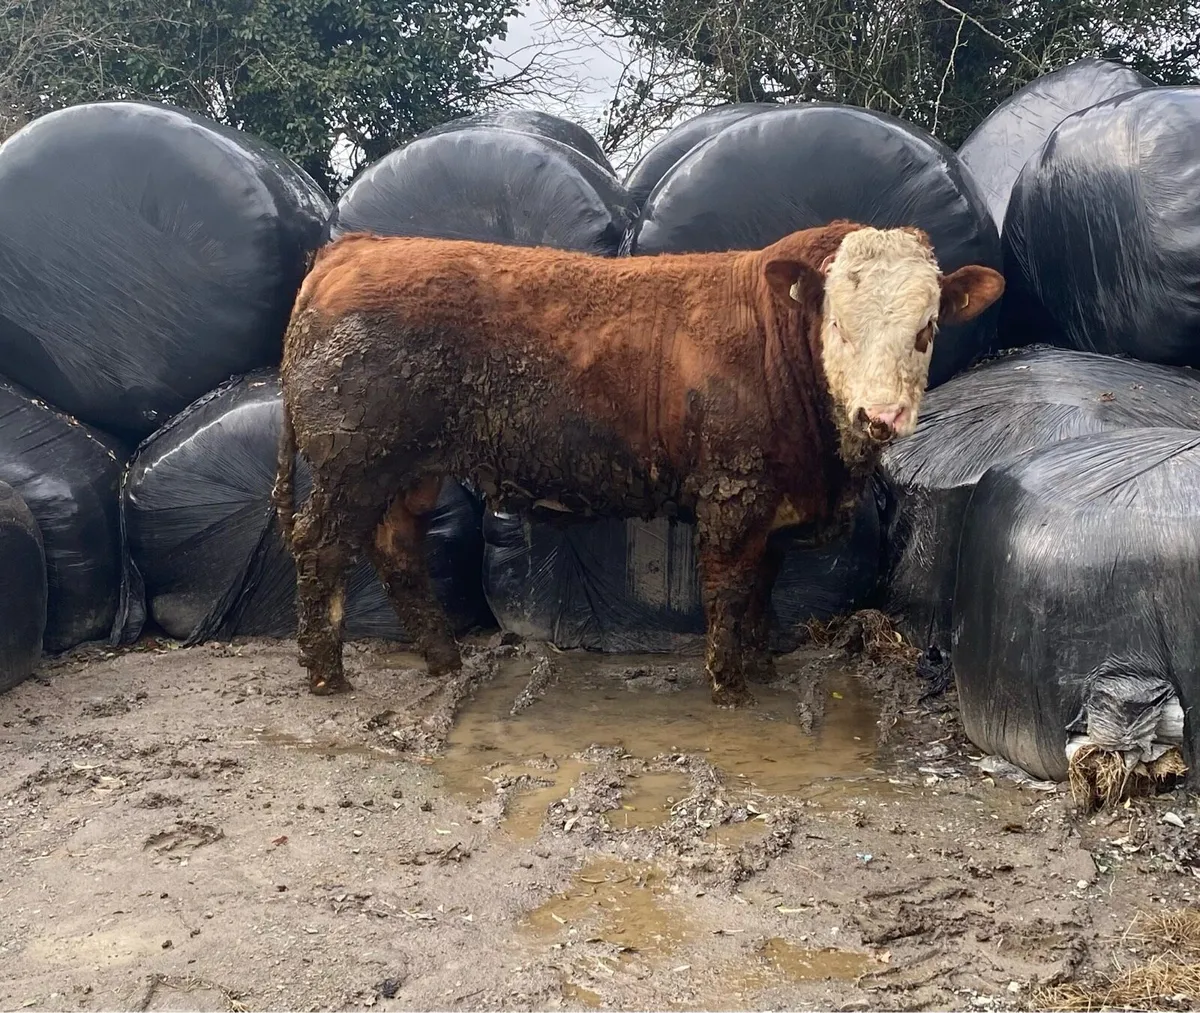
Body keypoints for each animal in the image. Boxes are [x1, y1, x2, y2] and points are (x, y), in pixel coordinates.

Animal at [272, 221, 1004, 706]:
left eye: (925, 330)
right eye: (839, 328)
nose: (880, 414)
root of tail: (356, 246)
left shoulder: (770, 499)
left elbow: (763, 583)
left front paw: (762, 664)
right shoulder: (731, 492)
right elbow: (729, 588)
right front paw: (730, 686)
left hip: (409, 469)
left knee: (396, 549)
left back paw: (444, 659)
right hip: (352, 465)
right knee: (321, 548)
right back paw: (326, 672)